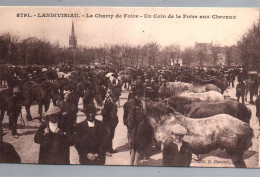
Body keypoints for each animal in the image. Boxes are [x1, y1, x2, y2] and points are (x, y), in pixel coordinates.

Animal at [124, 98, 254, 167]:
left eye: (134, 109)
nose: (127, 122)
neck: (166, 121)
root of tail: (244, 124)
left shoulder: (166, 149)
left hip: (234, 153)